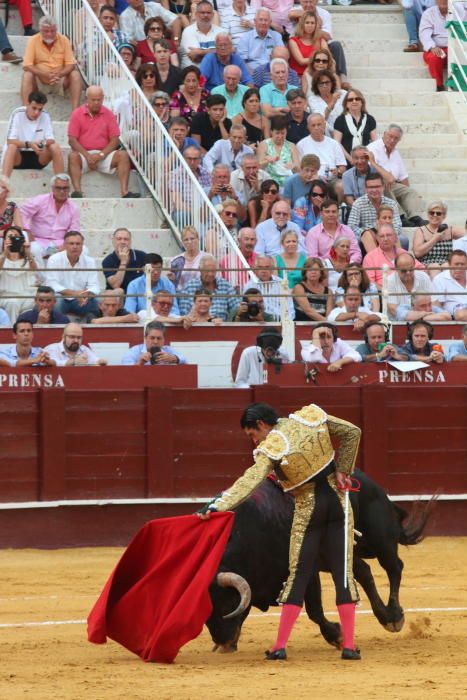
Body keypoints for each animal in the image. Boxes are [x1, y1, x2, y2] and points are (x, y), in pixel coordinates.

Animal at [207, 470, 434, 652]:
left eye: (227, 603)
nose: (222, 641)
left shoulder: (307, 570)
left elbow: (314, 610)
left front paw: (337, 636)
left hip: (381, 539)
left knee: (394, 568)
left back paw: (393, 617)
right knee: (364, 572)